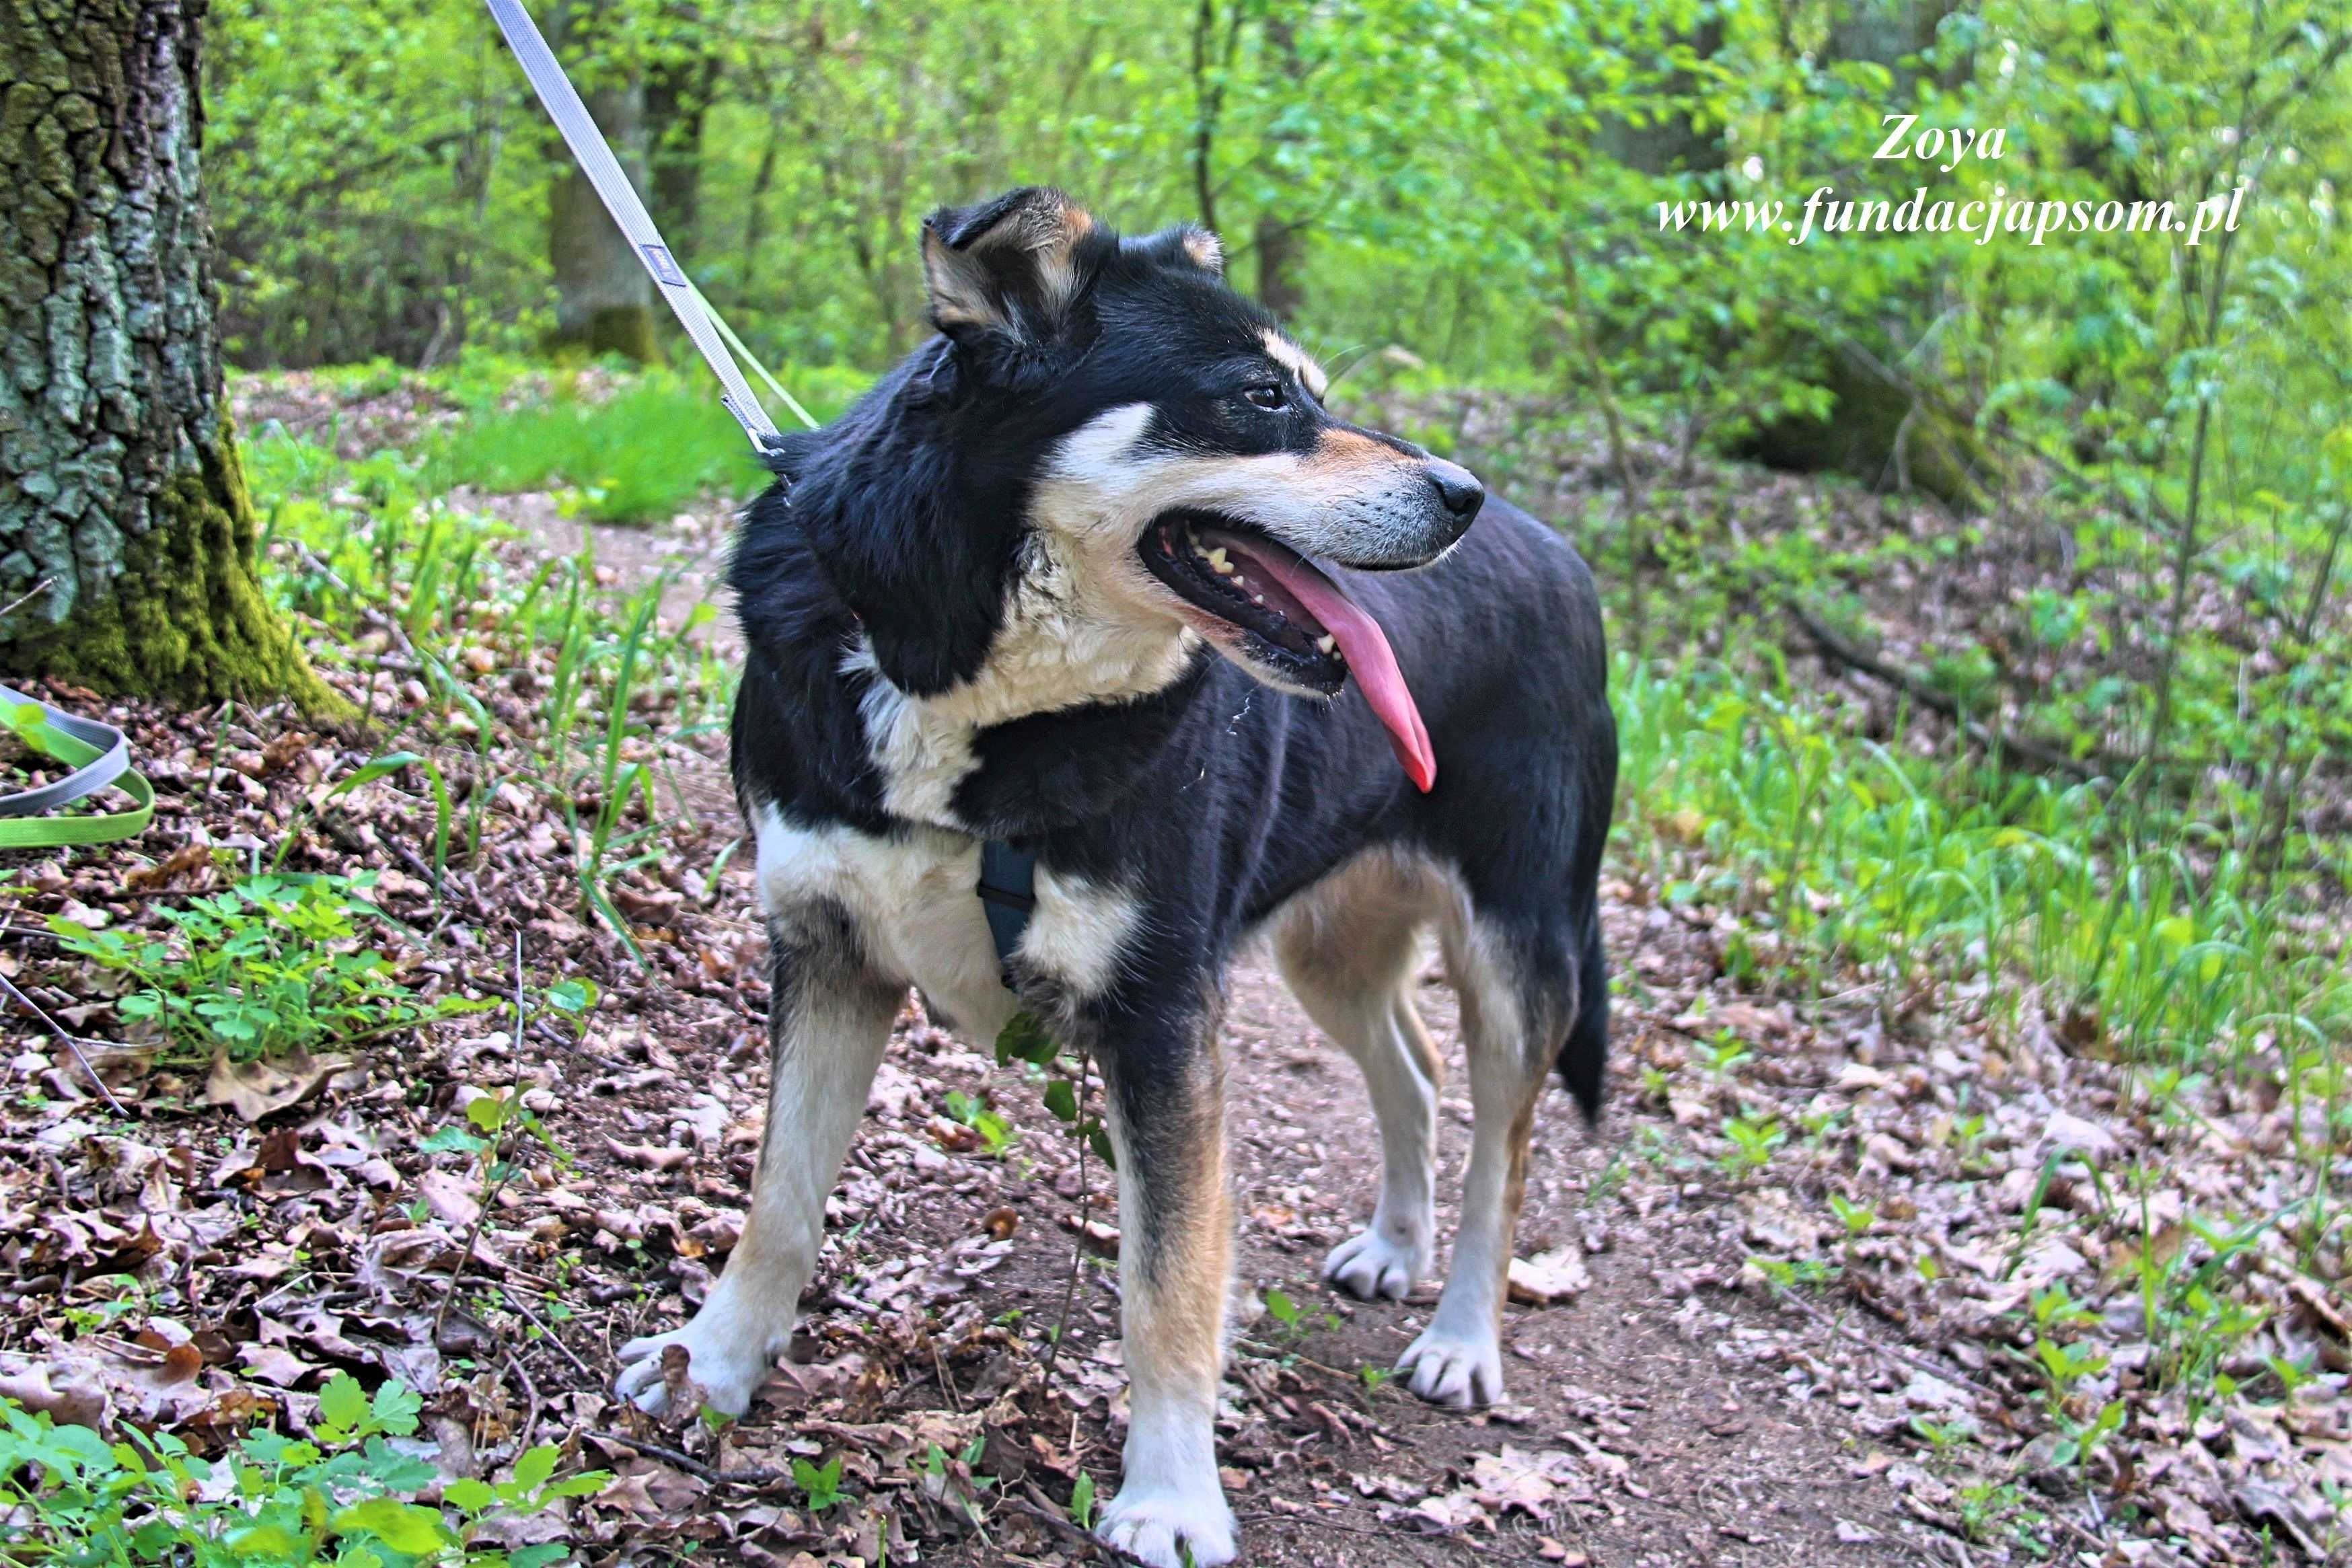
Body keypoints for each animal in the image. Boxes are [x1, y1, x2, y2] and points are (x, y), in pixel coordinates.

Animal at [616, 186, 1618, 1568]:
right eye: (1261, 396)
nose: (1461, 492)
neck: (973, 700)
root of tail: (1567, 560)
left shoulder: (1162, 1017)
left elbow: (1168, 1289)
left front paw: (1173, 1495)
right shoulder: (826, 951)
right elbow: (777, 1198)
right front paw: (710, 1363)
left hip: (1523, 953)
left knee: (1505, 1156)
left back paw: (1462, 1335)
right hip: (1327, 949)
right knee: (1412, 1073)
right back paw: (1392, 1246)